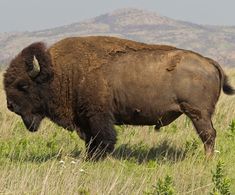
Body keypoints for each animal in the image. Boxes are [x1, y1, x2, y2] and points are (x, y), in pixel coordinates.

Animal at [4, 35, 235, 159]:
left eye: (23, 85)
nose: (10, 105)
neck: (60, 72)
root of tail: (208, 61)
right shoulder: (85, 120)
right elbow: (90, 141)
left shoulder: (98, 117)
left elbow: (104, 140)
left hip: (198, 114)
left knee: (208, 135)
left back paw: (207, 160)